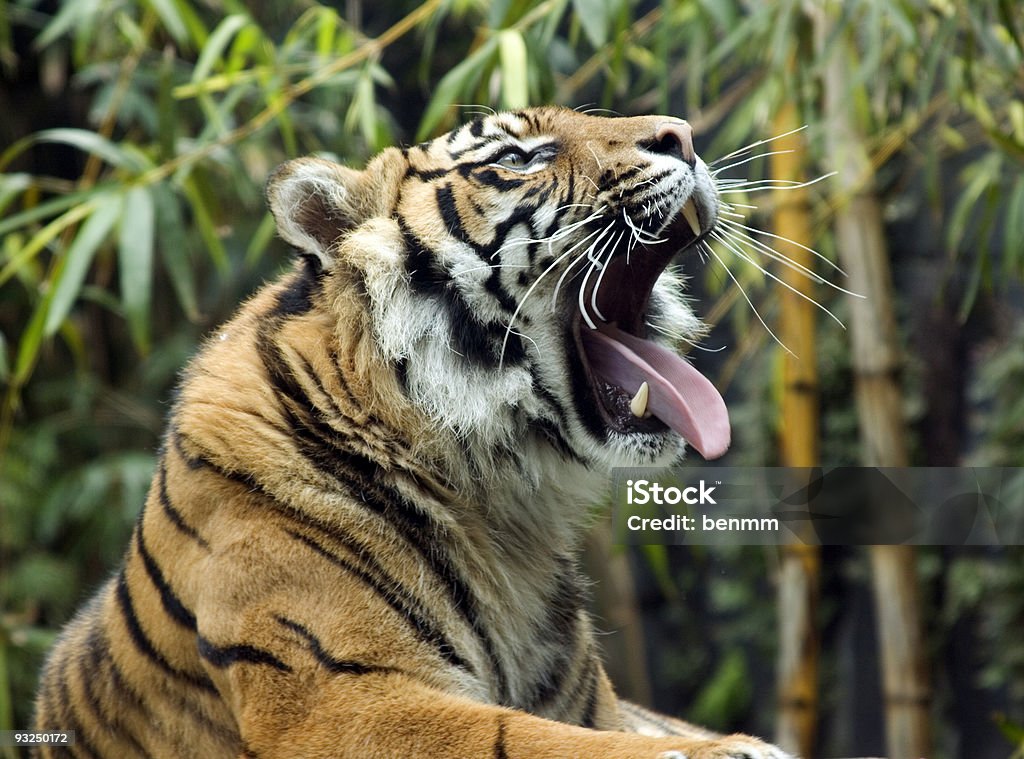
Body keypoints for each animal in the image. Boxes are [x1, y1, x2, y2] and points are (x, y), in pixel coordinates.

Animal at [34, 106, 790, 757]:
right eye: (518, 158)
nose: (683, 136)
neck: (505, 511)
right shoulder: (335, 700)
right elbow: (523, 739)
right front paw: (733, 748)